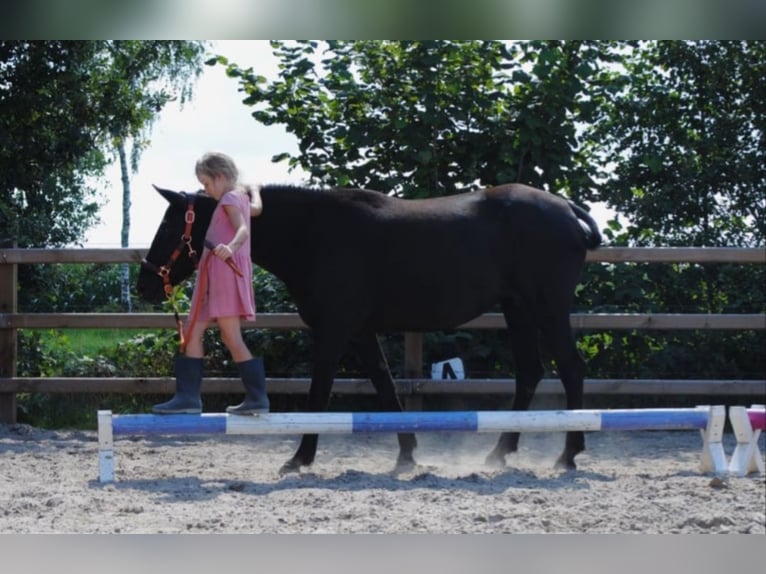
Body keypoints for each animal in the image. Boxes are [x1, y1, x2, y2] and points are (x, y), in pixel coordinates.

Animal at [136, 183, 602, 474]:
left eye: (169, 225)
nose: (145, 284)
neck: (313, 235)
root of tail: (567, 209)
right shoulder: (359, 332)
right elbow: (386, 387)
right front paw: (407, 455)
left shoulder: (333, 331)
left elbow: (319, 394)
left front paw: (299, 458)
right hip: (517, 310)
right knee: (530, 374)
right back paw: (500, 452)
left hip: (547, 308)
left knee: (572, 369)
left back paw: (568, 454)